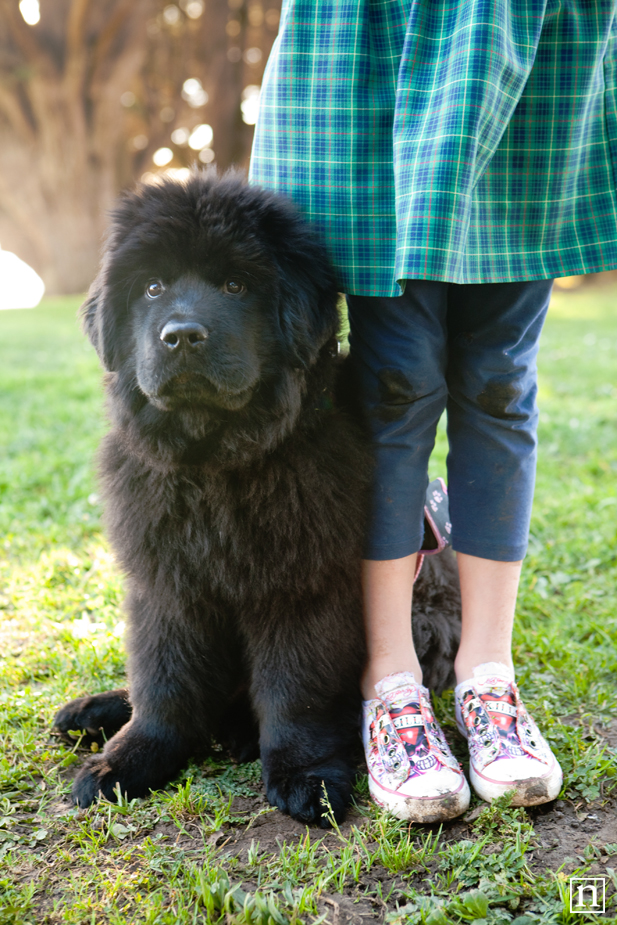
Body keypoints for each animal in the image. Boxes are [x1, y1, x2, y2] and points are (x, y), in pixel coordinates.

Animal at [54, 173, 458, 824]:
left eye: (236, 285)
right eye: (153, 287)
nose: (182, 335)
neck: (217, 466)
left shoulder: (304, 590)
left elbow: (296, 690)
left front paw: (306, 774)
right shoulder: (166, 587)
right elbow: (162, 681)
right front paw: (130, 758)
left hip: (422, 616)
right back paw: (94, 711)